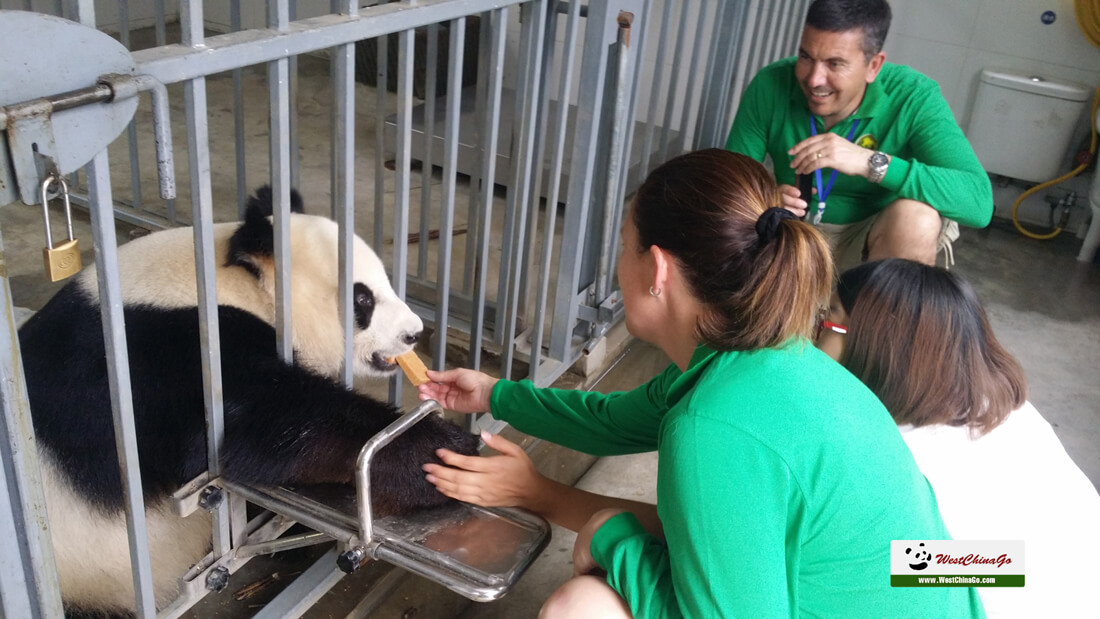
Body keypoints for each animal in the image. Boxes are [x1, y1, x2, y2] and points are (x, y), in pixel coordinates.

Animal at [16, 188, 481, 615]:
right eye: (362, 299)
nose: (413, 333)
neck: (230, 282)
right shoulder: (165, 361)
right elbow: (263, 429)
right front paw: (441, 453)